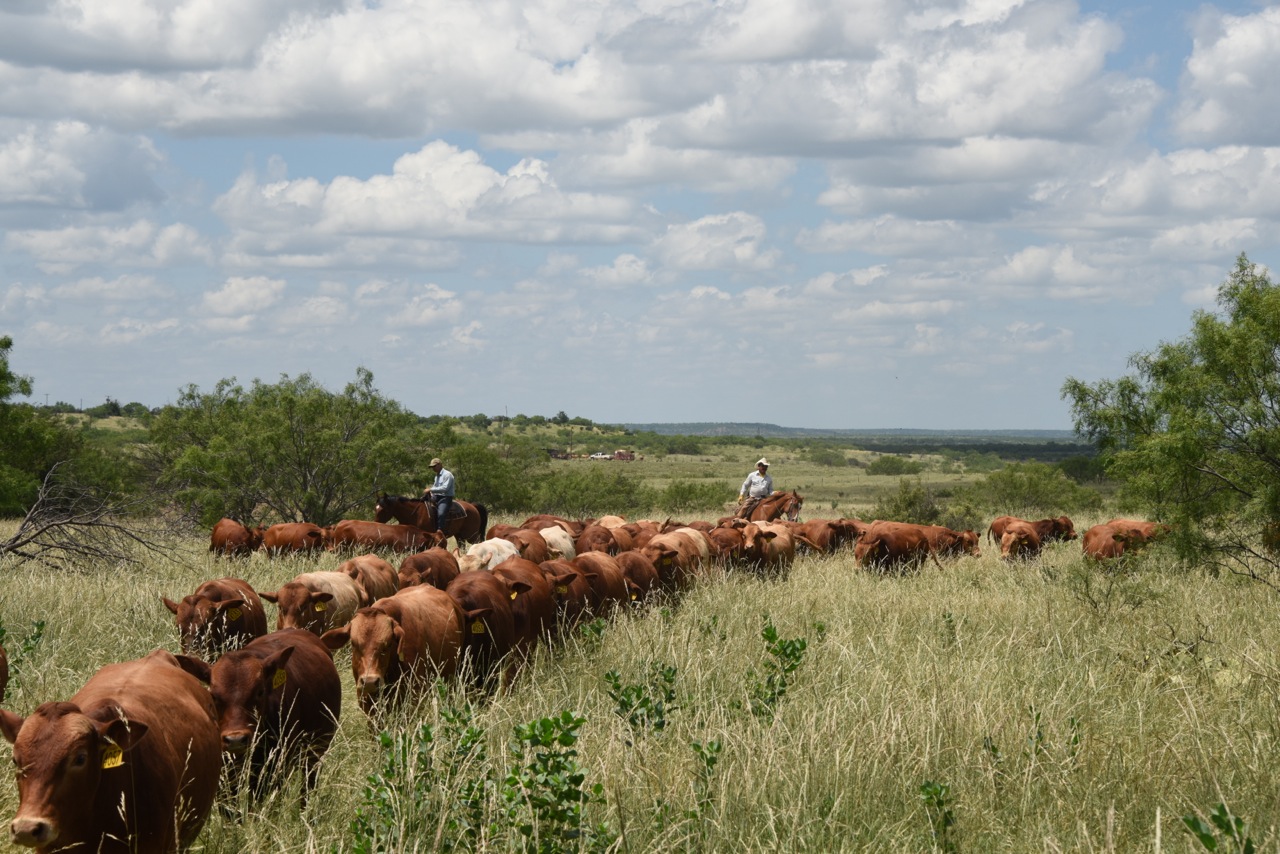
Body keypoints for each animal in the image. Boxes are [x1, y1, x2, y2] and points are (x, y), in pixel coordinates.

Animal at [177, 627, 345, 804]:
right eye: (214, 696)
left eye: (260, 691)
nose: (236, 739)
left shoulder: (274, 769)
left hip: (315, 751)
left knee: (307, 785)